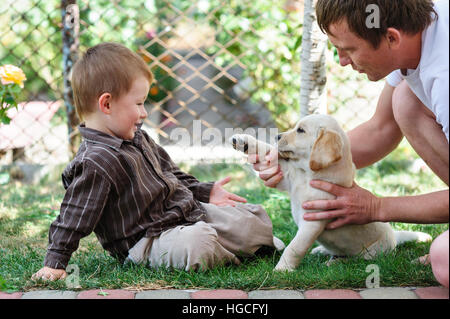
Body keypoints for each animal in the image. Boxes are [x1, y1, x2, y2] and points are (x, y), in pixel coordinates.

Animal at [230, 114, 430, 272]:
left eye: (300, 130)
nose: (277, 136)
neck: (308, 175)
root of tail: (394, 237)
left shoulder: (313, 221)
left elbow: (295, 247)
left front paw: (282, 270)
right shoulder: (287, 176)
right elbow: (266, 151)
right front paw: (244, 141)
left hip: (373, 252)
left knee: (356, 260)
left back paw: (335, 263)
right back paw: (321, 250)